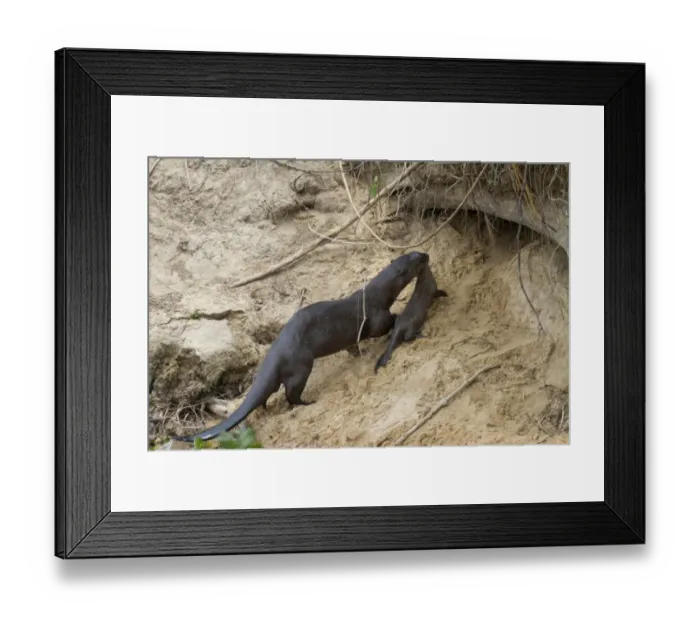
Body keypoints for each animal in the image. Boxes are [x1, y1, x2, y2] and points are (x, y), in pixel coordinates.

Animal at [172, 251, 429, 443]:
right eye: (417, 260)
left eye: (414, 253)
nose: (426, 254)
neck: (376, 294)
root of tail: (276, 351)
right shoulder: (375, 317)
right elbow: (384, 325)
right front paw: (395, 320)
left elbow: (352, 347)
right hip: (301, 364)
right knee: (291, 393)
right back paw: (307, 402)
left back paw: (266, 405)